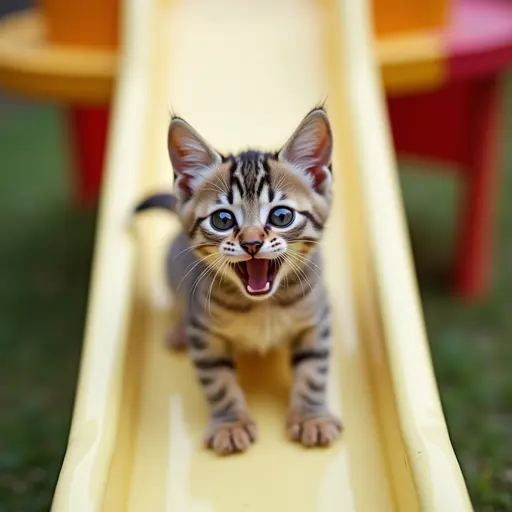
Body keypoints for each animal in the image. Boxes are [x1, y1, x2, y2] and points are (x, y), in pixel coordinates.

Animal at [136, 107, 342, 452]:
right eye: (223, 220)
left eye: (281, 216)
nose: (252, 243)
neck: (263, 307)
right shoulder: (203, 333)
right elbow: (218, 382)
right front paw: (230, 425)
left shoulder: (317, 320)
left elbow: (313, 371)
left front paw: (311, 417)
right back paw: (177, 330)